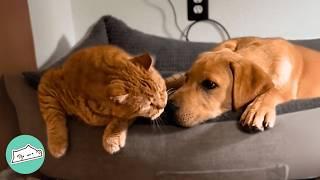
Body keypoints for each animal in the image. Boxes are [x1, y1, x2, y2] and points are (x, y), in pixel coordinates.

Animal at [38, 45, 168, 158]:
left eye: (161, 91)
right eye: (149, 104)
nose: (163, 107)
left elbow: (120, 120)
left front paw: (111, 138)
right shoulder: (48, 83)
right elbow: (53, 116)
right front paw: (57, 143)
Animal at [168, 36, 320, 130]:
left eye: (210, 84)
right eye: (188, 79)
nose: (169, 107)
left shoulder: (285, 88)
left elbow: (273, 90)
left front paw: (258, 109)